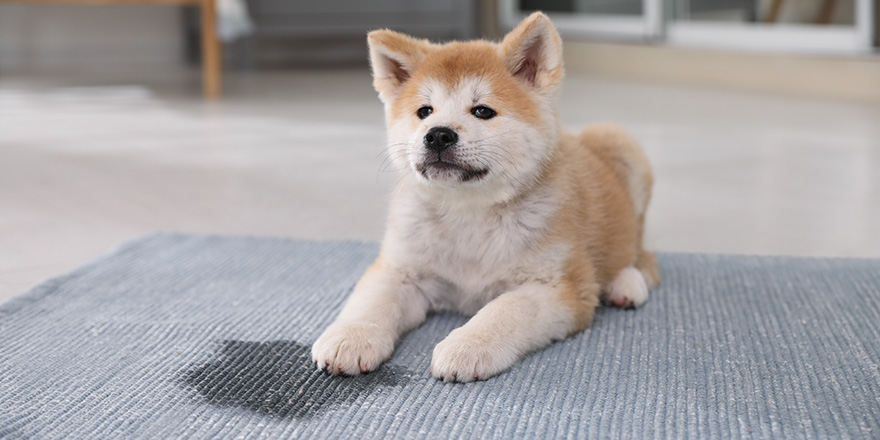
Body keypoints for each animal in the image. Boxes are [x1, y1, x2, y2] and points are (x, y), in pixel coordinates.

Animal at [312, 12, 656, 384]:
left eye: (482, 111)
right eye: (424, 111)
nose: (438, 135)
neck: (469, 213)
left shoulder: (560, 286)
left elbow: (506, 309)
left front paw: (468, 345)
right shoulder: (401, 270)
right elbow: (371, 301)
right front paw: (351, 336)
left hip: (622, 146)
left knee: (640, 250)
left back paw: (626, 282)